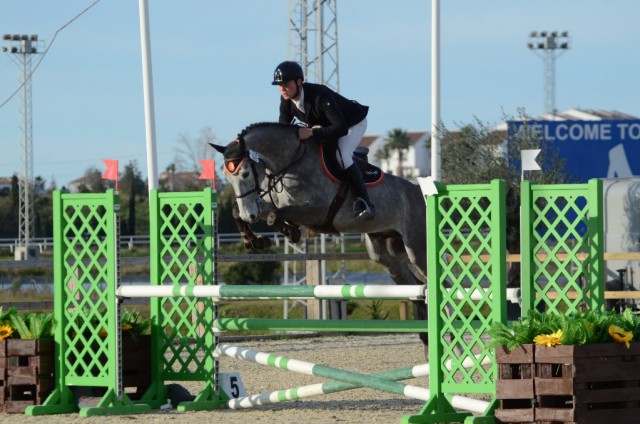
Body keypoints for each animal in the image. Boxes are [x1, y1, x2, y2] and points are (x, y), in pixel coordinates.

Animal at [212, 121, 428, 344]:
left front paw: (291, 233)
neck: (289, 163)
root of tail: (419, 193)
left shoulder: (316, 211)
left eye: (245, 173)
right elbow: (241, 212)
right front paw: (254, 240)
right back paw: (425, 338)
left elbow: (274, 216)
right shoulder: (271, 203)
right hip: (386, 257)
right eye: (227, 177)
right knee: (418, 290)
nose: (250, 215)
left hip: (418, 250)